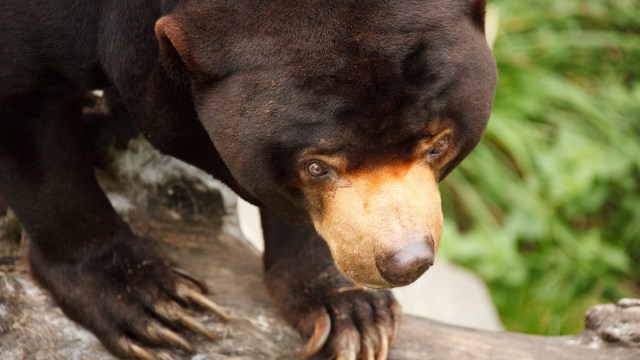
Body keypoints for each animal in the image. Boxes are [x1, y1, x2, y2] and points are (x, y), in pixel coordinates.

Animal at [0, 0, 496, 358]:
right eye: (317, 167)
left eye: (438, 145)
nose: (406, 263)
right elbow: (28, 112)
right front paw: (153, 302)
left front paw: (350, 312)